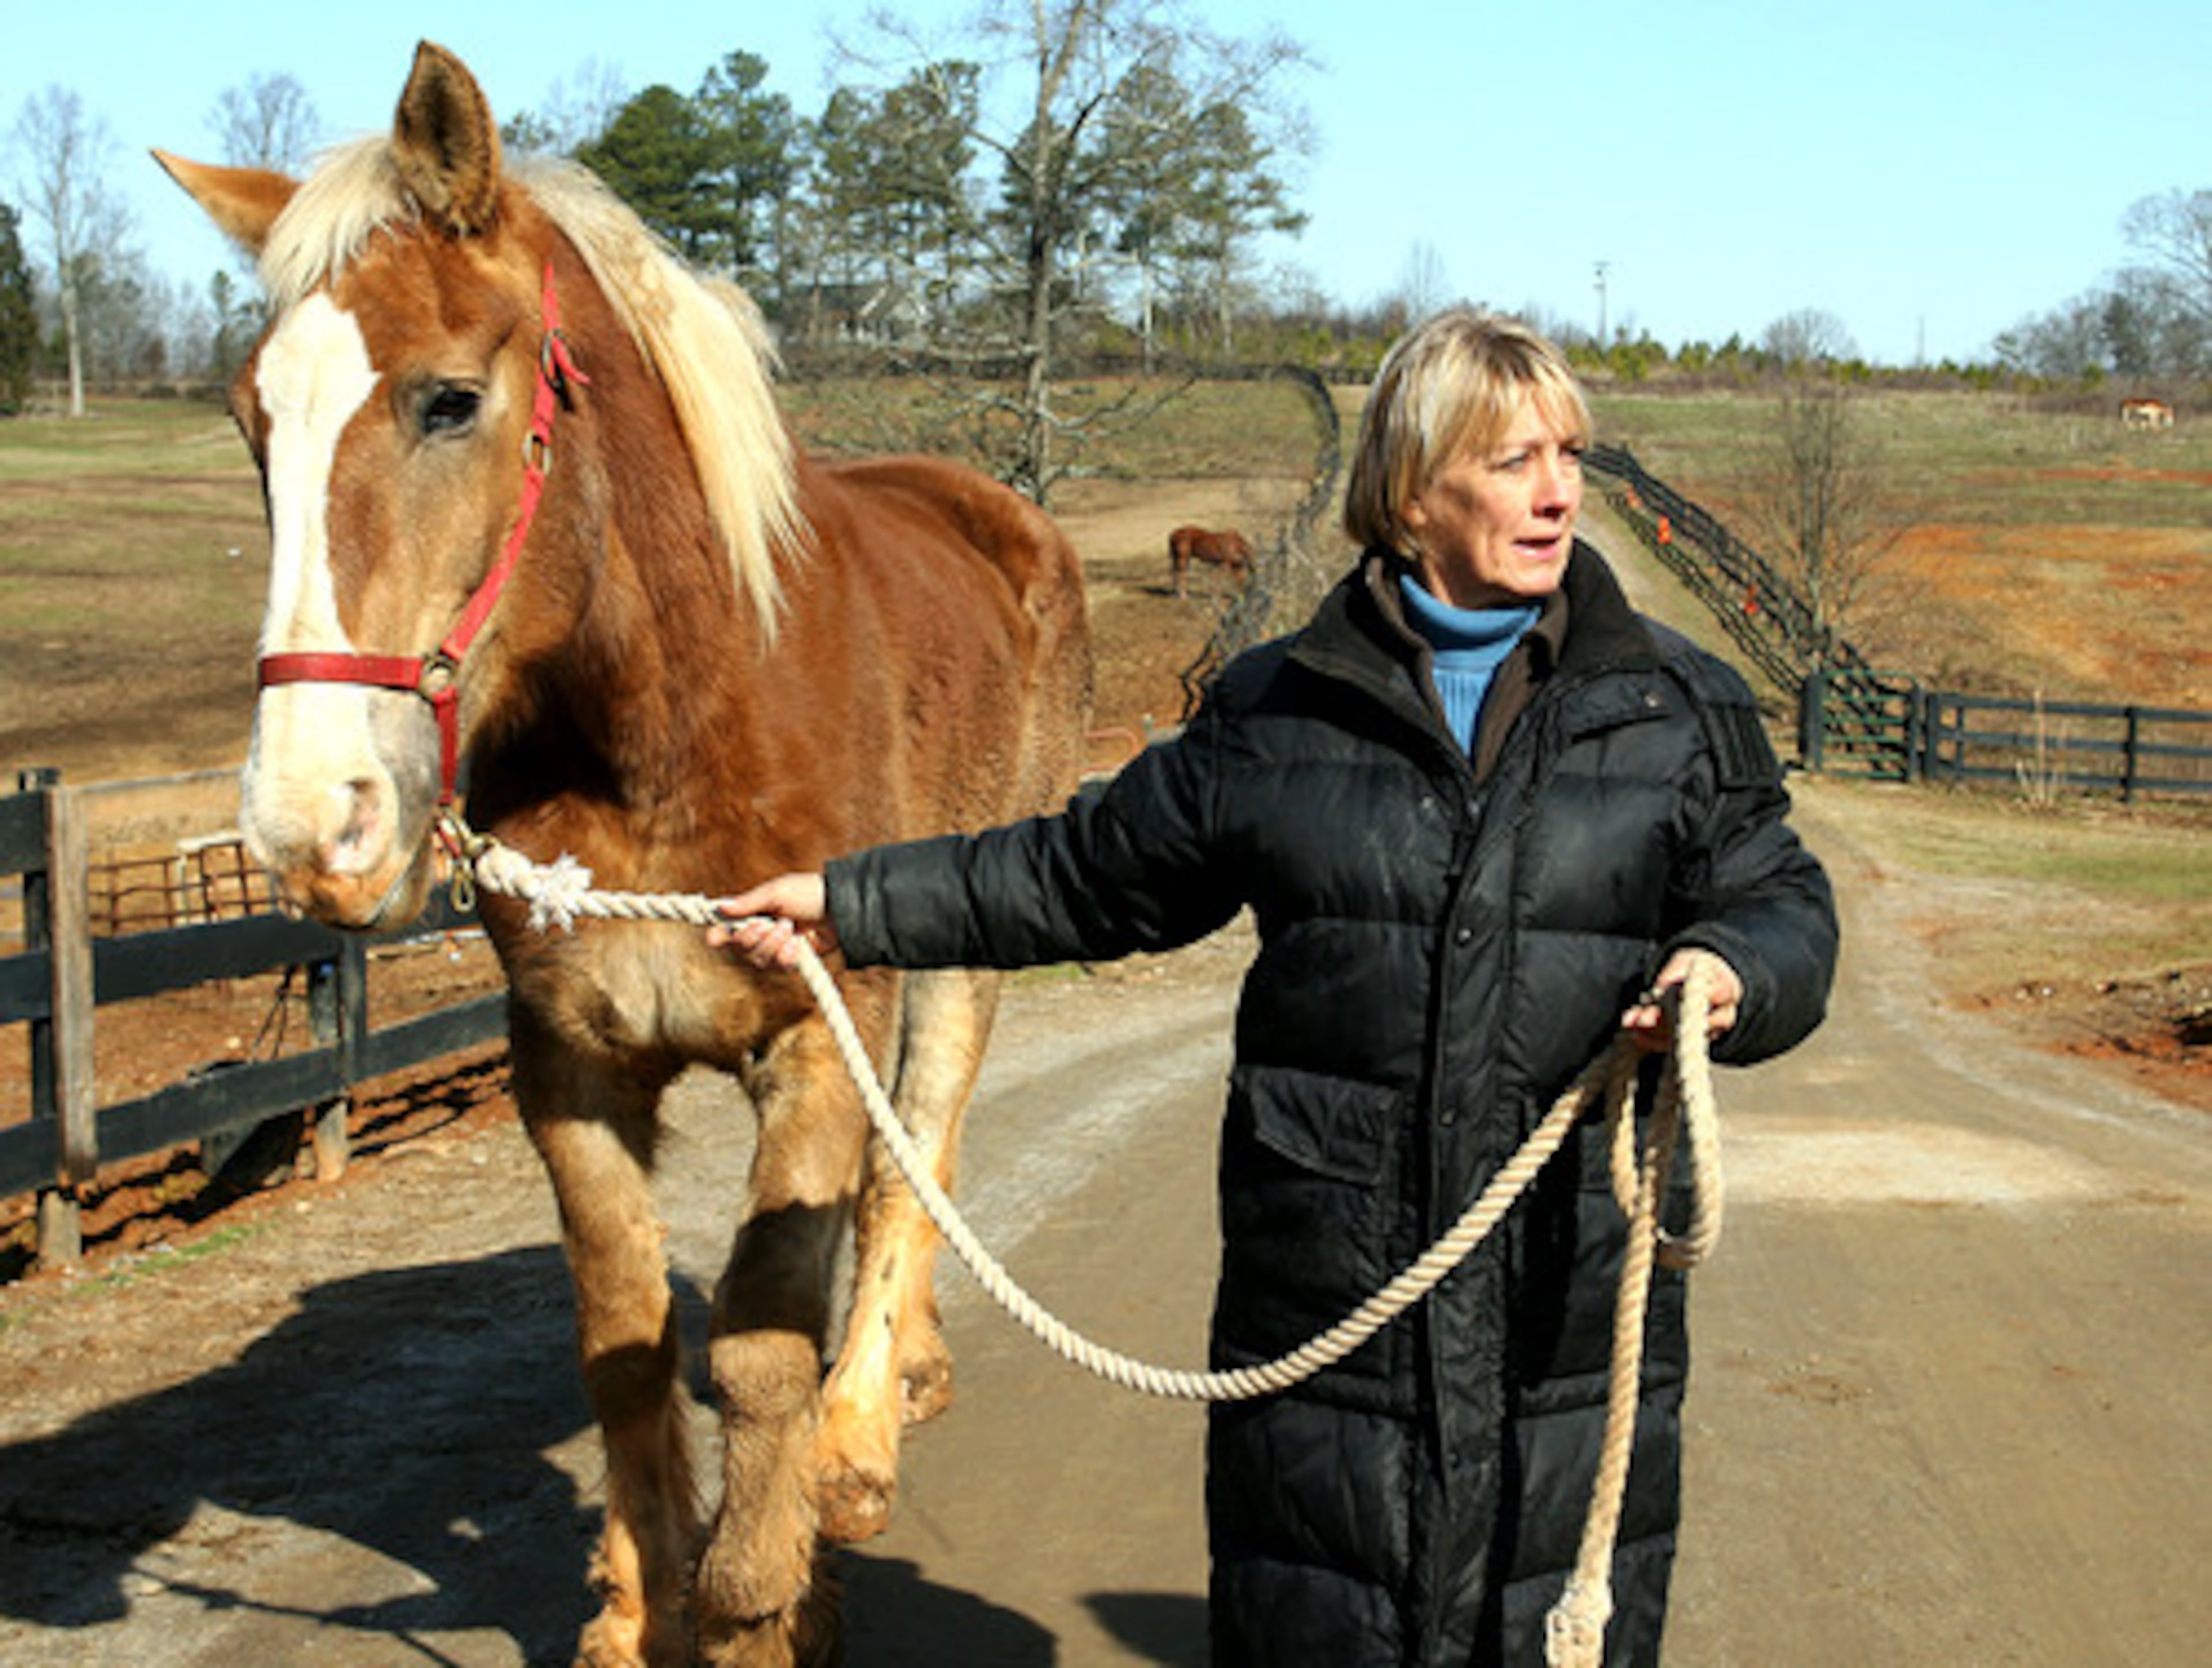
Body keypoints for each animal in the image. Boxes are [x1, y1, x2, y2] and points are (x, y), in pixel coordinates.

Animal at [158, 41, 1091, 1668]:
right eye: (248, 421)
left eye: (449, 401)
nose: (311, 819)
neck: (669, 725)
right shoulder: (569, 1063)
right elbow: (623, 1340)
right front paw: (639, 1597)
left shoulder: (810, 1038)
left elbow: (762, 1346)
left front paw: (760, 1598)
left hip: (959, 959)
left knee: (917, 1162)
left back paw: (857, 1441)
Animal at [1167, 523, 1254, 597]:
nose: (1243, 595)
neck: (1235, 544)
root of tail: (1173, 534)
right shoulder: (1225, 563)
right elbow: (1221, 580)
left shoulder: (1220, 563)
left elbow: (1216, 579)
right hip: (1183, 557)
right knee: (1181, 573)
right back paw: (1183, 595)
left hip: (1177, 557)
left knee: (1175, 572)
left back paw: (1175, 592)